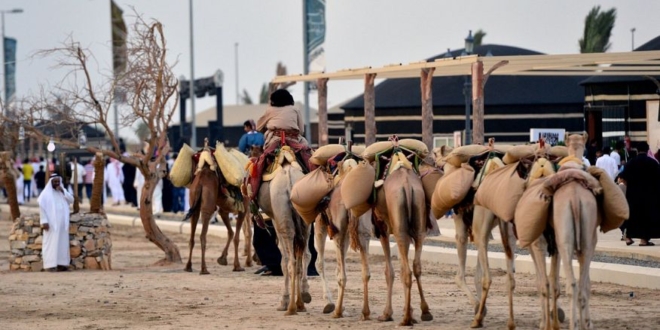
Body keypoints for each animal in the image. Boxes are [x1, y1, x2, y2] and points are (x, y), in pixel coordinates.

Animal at [255, 148, 312, 316]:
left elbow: (283, 260)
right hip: (304, 217)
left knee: (290, 260)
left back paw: (290, 307)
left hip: (282, 216)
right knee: (304, 255)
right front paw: (301, 303)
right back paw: (304, 296)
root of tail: (290, 182)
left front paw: (284, 301)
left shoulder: (275, 219)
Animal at [314, 178, 374, 320]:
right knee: (365, 273)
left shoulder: (319, 222)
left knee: (340, 274)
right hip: (362, 230)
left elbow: (317, 263)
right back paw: (365, 312)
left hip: (338, 232)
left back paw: (337, 311)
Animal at [372, 166, 434, 326]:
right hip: (418, 224)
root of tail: (406, 184)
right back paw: (425, 312)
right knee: (416, 266)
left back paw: (406, 319)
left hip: (399, 228)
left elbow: (389, 271)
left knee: (406, 271)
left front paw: (387, 314)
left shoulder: (383, 230)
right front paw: (411, 311)